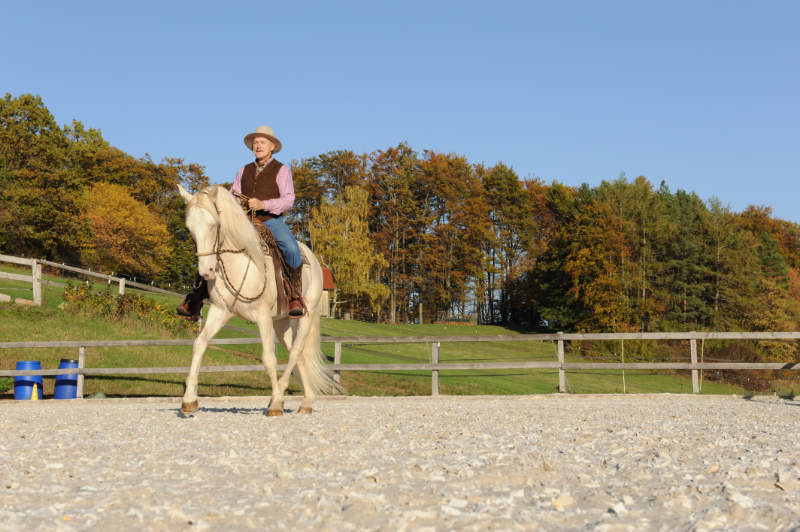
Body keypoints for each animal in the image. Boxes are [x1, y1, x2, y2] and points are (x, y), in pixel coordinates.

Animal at [177, 184, 340, 416]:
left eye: (213, 225)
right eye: (189, 228)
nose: (206, 272)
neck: (240, 263)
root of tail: (315, 261)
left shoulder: (263, 317)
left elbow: (269, 359)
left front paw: (275, 404)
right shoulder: (219, 311)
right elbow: (199, 344)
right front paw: (189, 400)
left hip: (304, 316)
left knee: (296, 352)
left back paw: (280, 396)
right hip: (281, 323)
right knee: (298, 355)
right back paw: (306, 402)